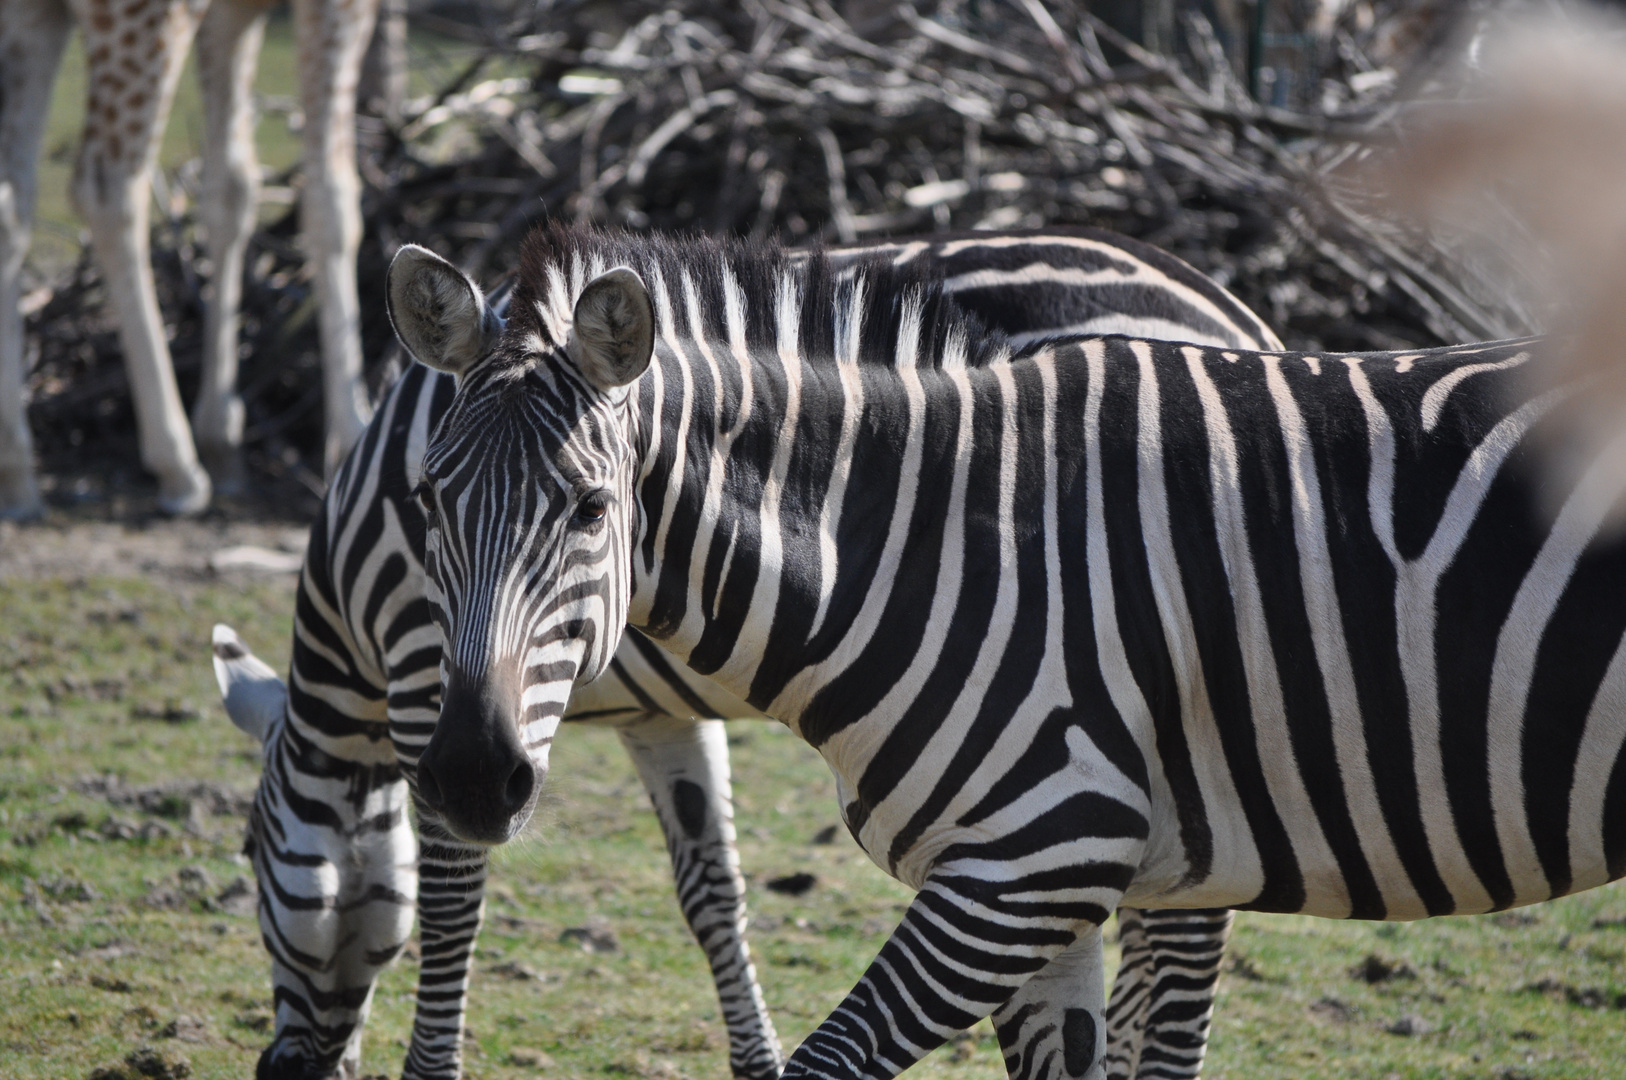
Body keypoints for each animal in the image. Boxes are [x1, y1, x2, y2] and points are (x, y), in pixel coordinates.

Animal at [216, 229, 1274, 1080]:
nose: (278, 1073)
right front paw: (755, 1055)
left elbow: (445, 900)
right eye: (430, 503)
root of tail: (1229, 307)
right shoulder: (657, 716)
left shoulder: (426, 677)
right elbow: (711, 890)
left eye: (249, 855)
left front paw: (430, 1064)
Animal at [383, 221, 1626, 1080]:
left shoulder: (1036, 856)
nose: (466, 777)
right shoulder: (1043, 895)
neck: (932, 547)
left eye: (591, 511)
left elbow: (833, 1059)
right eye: (428, 502)